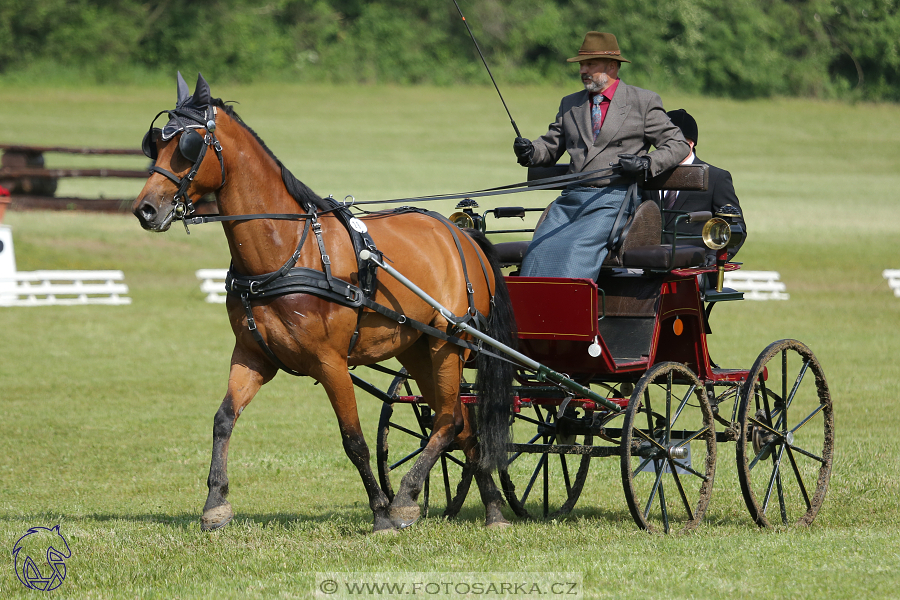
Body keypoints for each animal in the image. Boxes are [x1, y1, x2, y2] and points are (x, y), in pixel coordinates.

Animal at [130, 72, 516, 532]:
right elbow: (223, 419)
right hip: (419, 348)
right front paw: (215, 504)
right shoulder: (252, 355)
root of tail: (462, 233)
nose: (145, 209)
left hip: (449, 344)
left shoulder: (331, 361)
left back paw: (405, 497)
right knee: (461, 425)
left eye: (189, 145)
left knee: (449, 420)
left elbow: (354, 439)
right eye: (155, 144)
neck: (286, 252)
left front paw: (381, 512)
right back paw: (492, 509)